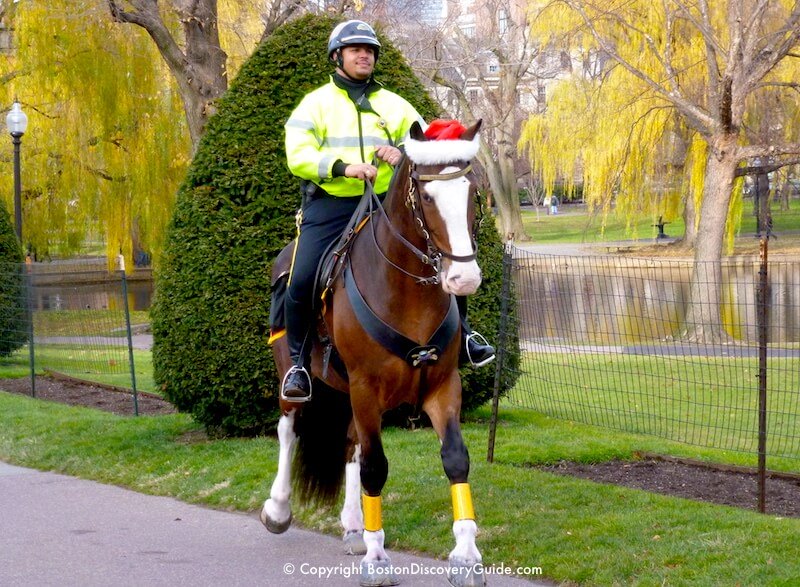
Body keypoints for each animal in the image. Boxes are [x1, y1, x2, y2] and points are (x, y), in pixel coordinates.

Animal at [262, 120, 488, 587]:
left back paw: (353, 526)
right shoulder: (366, 388)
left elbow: (455, 459)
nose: (463, 278)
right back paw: (278, 508)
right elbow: (375, 467)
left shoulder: (443, 386)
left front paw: (466, 555)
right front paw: (377, 557)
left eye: (472, 190)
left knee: (350, 444)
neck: (405, 291)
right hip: (297, 380)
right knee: (290, 431)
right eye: (426, 196)